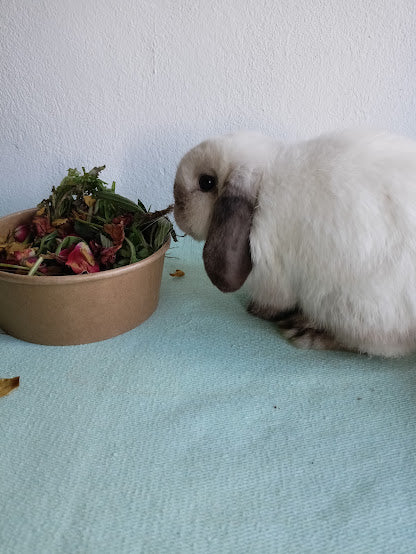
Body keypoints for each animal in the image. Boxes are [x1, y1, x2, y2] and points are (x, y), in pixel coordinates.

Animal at [173, 127, 416, 356]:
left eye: (206, 182)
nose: (176, 211)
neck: (262, 187)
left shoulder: (272, 276)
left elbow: (274, 300)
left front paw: (257, 311)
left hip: (352, 308)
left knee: (377, 346)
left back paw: (307, 333)